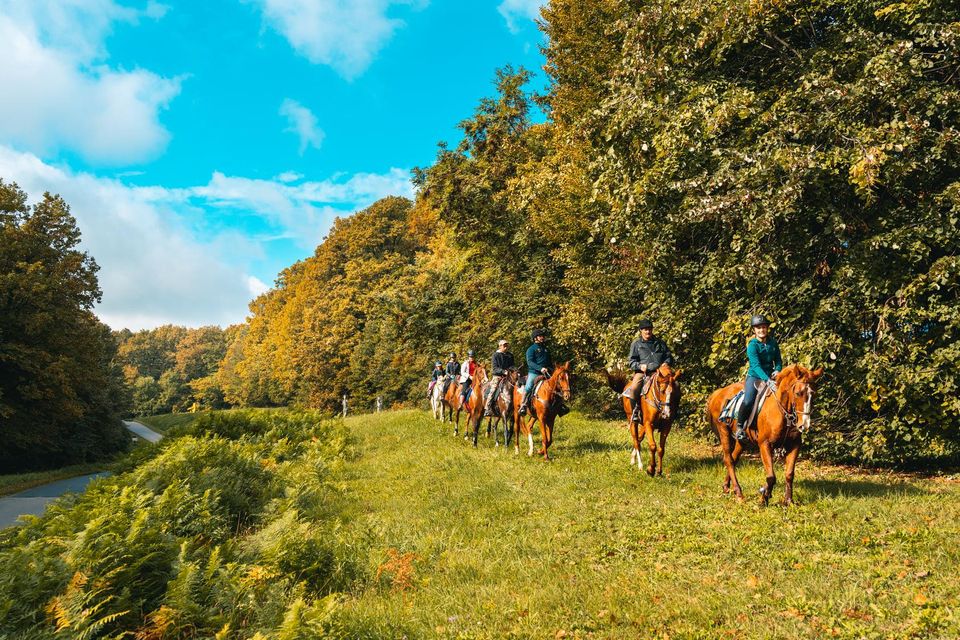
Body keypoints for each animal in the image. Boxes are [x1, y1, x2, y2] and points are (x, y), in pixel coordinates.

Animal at [704, 364, 824, 504]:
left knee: (734, 459)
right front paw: (764, 498)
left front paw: (788, 501)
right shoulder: (764, 444)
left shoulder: (794, 445)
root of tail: (718, 393)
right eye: (798, 393)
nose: (804, 425)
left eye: (813, 394)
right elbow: (771, 476)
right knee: (728, 460)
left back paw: (727, 487)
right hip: (724, 434)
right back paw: (739, 493)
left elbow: (789, 474)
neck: (782, 412)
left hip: (742, 441)